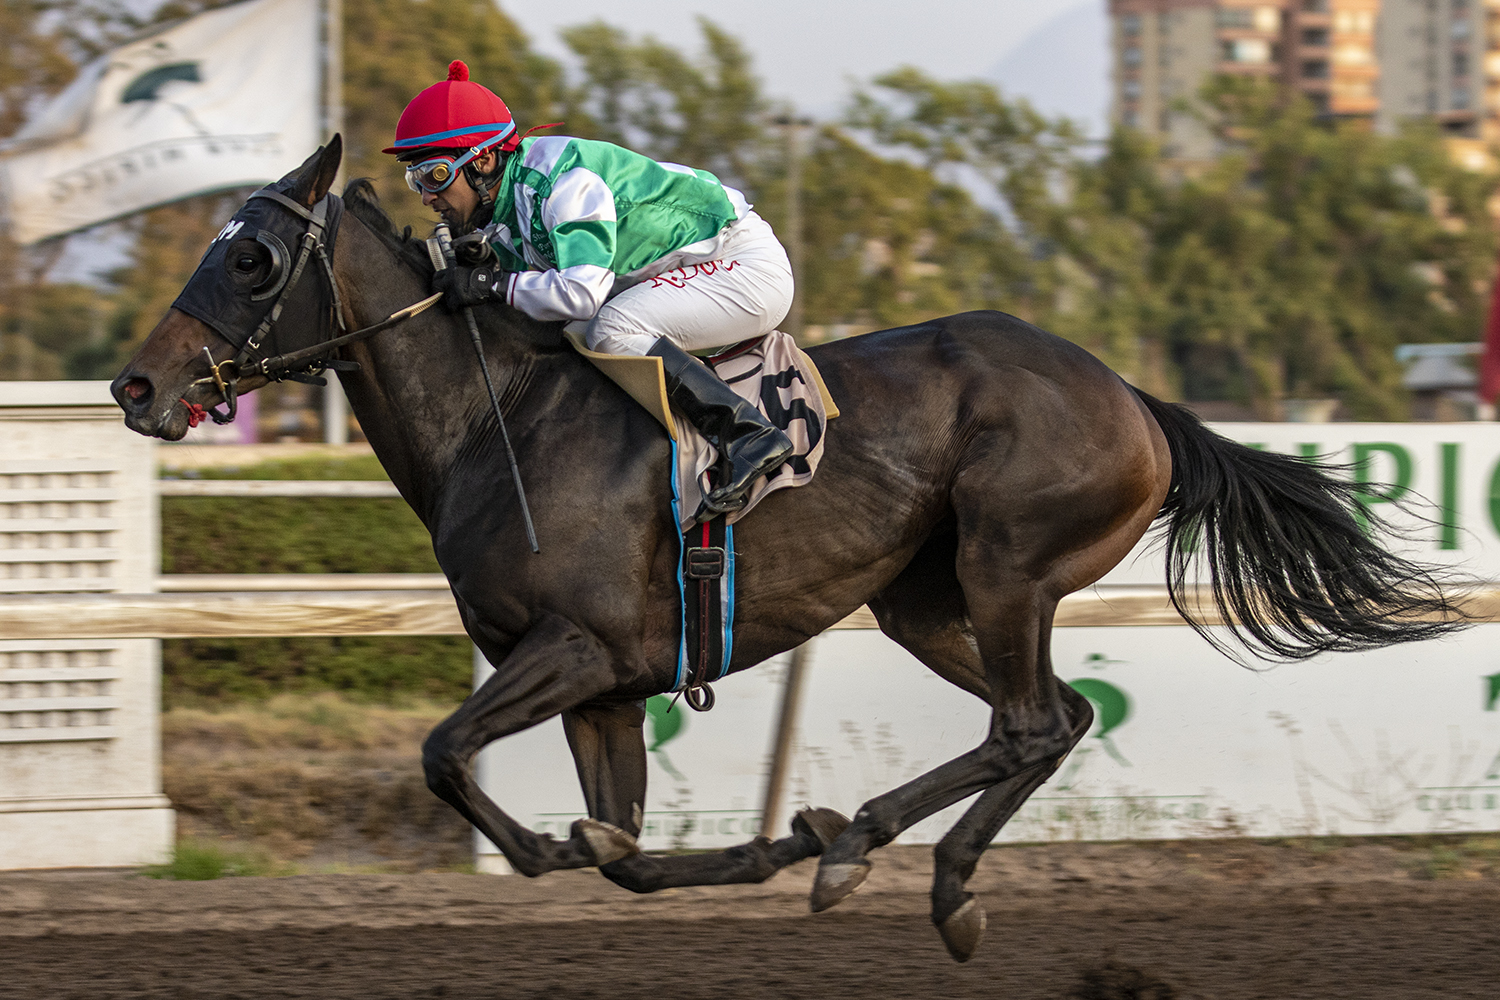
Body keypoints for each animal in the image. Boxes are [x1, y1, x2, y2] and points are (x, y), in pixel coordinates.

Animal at [111, 138, 1464, 962]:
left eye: (249, 256)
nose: (136, 385)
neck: (501, 419)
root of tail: (1135, 398)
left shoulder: (573, 647)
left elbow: (449, 754)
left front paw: (567, 846)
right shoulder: (605, 686)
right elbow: (623, 850)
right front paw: (737, 842)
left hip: (1009, 566)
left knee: (1033, 720)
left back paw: (880, 854)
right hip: (925, 598)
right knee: (1050, 719)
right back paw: (896, 861)